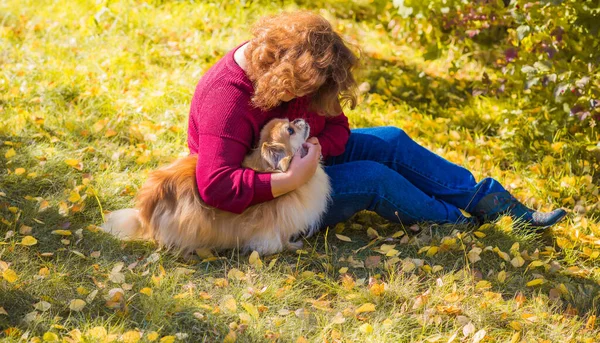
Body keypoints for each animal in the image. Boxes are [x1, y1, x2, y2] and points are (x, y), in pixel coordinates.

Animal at [101, 118, 330, 255]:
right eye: (290, 129)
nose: (300, 119)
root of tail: (145, 213)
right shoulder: (274, 224)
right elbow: (278, 239)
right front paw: (291, 246)